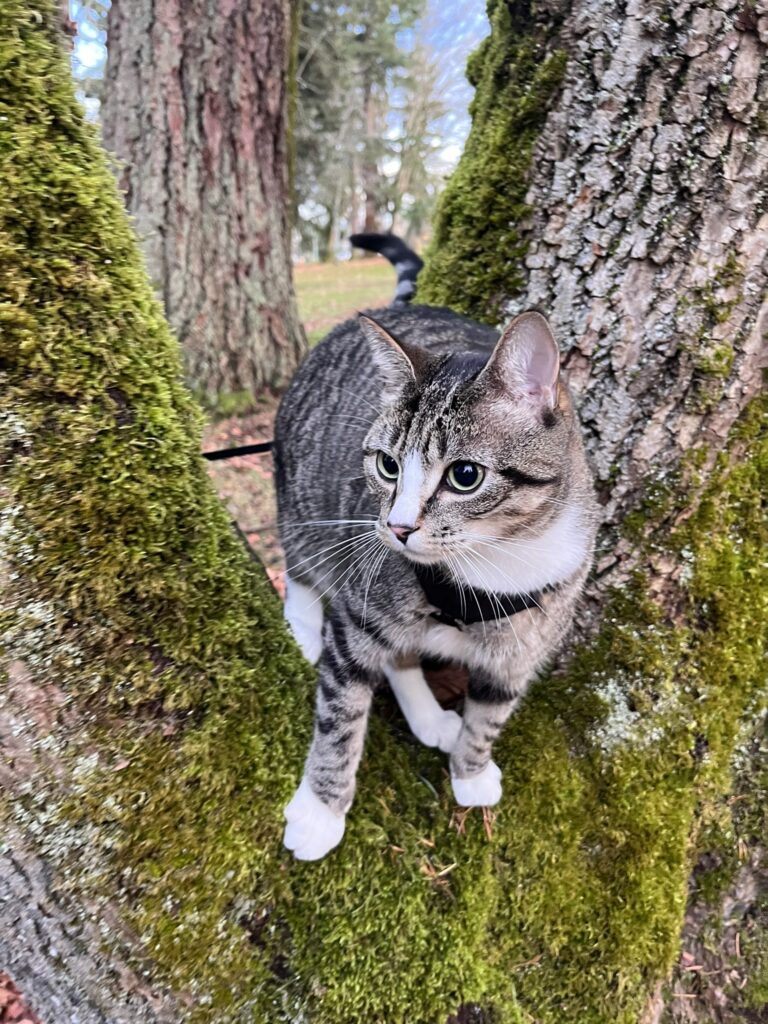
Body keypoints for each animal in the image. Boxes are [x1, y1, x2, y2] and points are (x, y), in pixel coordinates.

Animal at [274, 235, 598, 860]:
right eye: (387, 465)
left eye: (465, 476)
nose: (398, 528)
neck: (495, 565)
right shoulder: (361, 605)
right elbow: (341, 715)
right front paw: (321, 810)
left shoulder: (526, 642)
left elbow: (492, 711)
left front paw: (471, 770)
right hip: (299, 496)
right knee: (302, 563)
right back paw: (302, 623)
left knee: (401, 654)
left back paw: (429, 716)